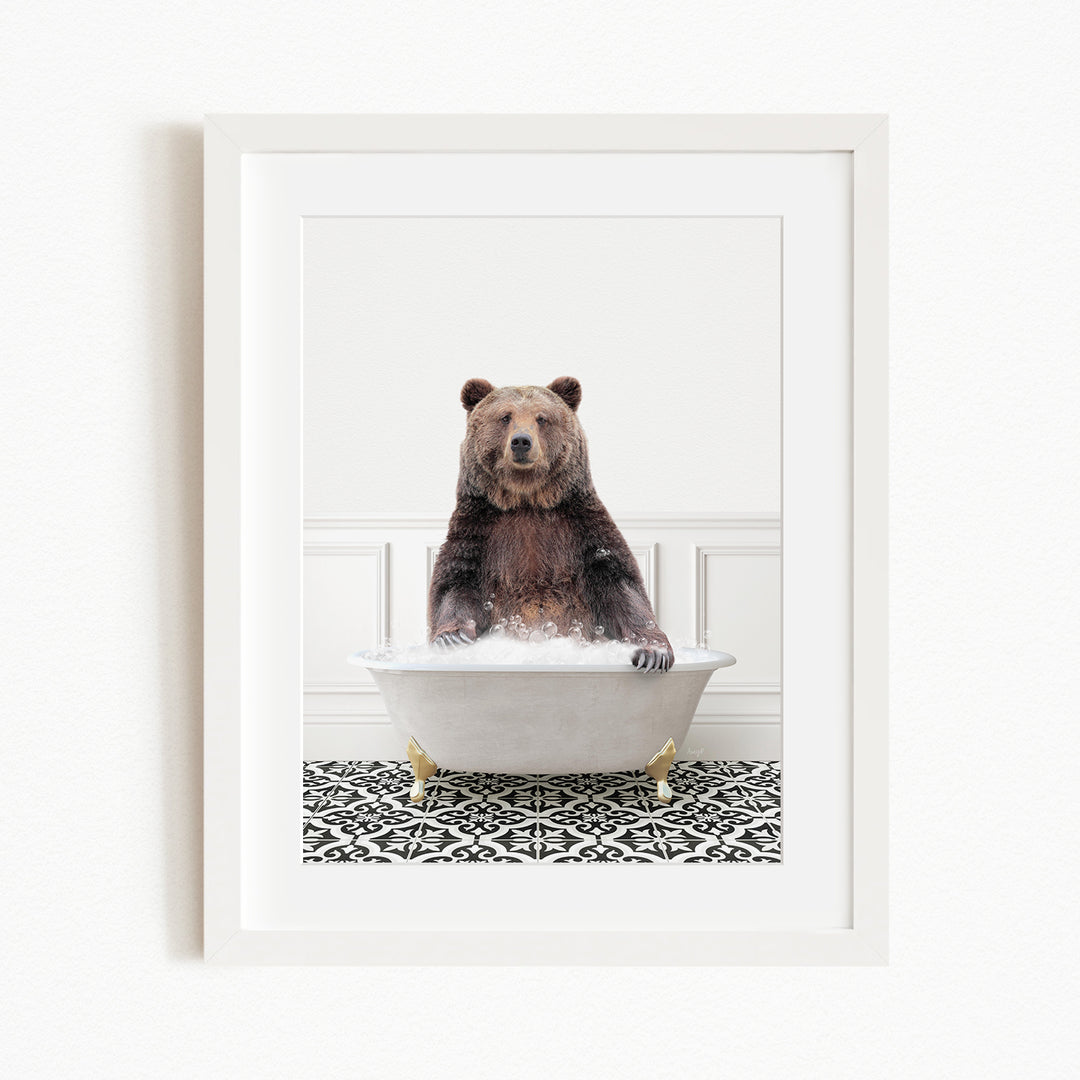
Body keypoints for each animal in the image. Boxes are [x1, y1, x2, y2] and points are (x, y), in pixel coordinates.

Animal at [427, 376, 675, 672]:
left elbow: (621, 585)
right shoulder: (479, 530)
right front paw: (451, 638)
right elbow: (455, 583)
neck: (527, 500)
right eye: (505, 416)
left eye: (542, 418)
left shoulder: (581, 528)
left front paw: (653, 653)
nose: (521, 441)